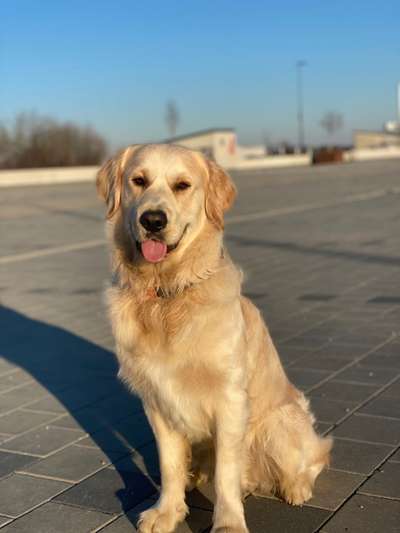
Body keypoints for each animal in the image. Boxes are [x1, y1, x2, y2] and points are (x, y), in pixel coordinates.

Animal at [97, 144, 332, 532]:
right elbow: (169, 465)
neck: (167, 294)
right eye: (139, 181)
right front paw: (168, 511)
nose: (153, 220)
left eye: (182, 185)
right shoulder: (156, 401)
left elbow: (226, 473)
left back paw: (295, 487)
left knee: (316, 456)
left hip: (280, 423)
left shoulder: (229, 398)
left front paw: (228, 523)